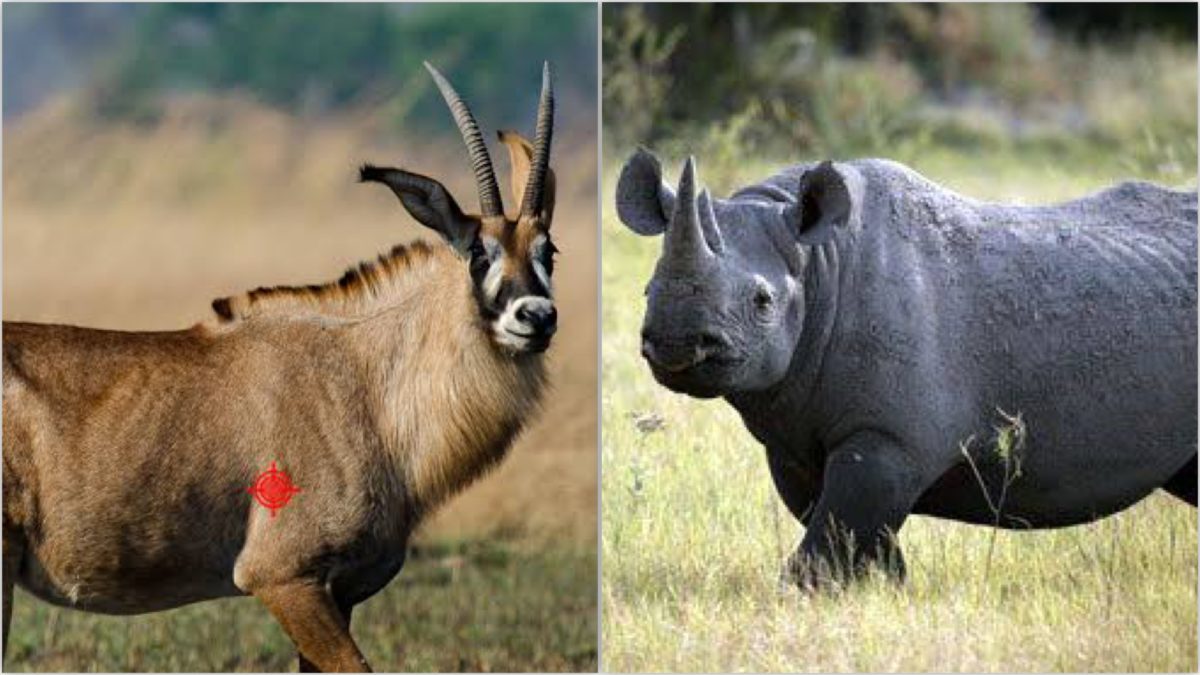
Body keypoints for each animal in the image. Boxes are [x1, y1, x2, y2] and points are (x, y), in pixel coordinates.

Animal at [2, 62, 559, 672]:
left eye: (549, 252)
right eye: (478, 252)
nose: (536, 317)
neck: (368, 385)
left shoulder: (339, 591)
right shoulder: (283, 577)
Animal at [616, 150, 1197, 585]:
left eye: (762, 302)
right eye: (646, 290)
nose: (676, 343)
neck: (815, 263)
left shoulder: (890, 437)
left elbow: (831, 539)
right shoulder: (797, 442)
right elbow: (852, 532)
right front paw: (882, 589)